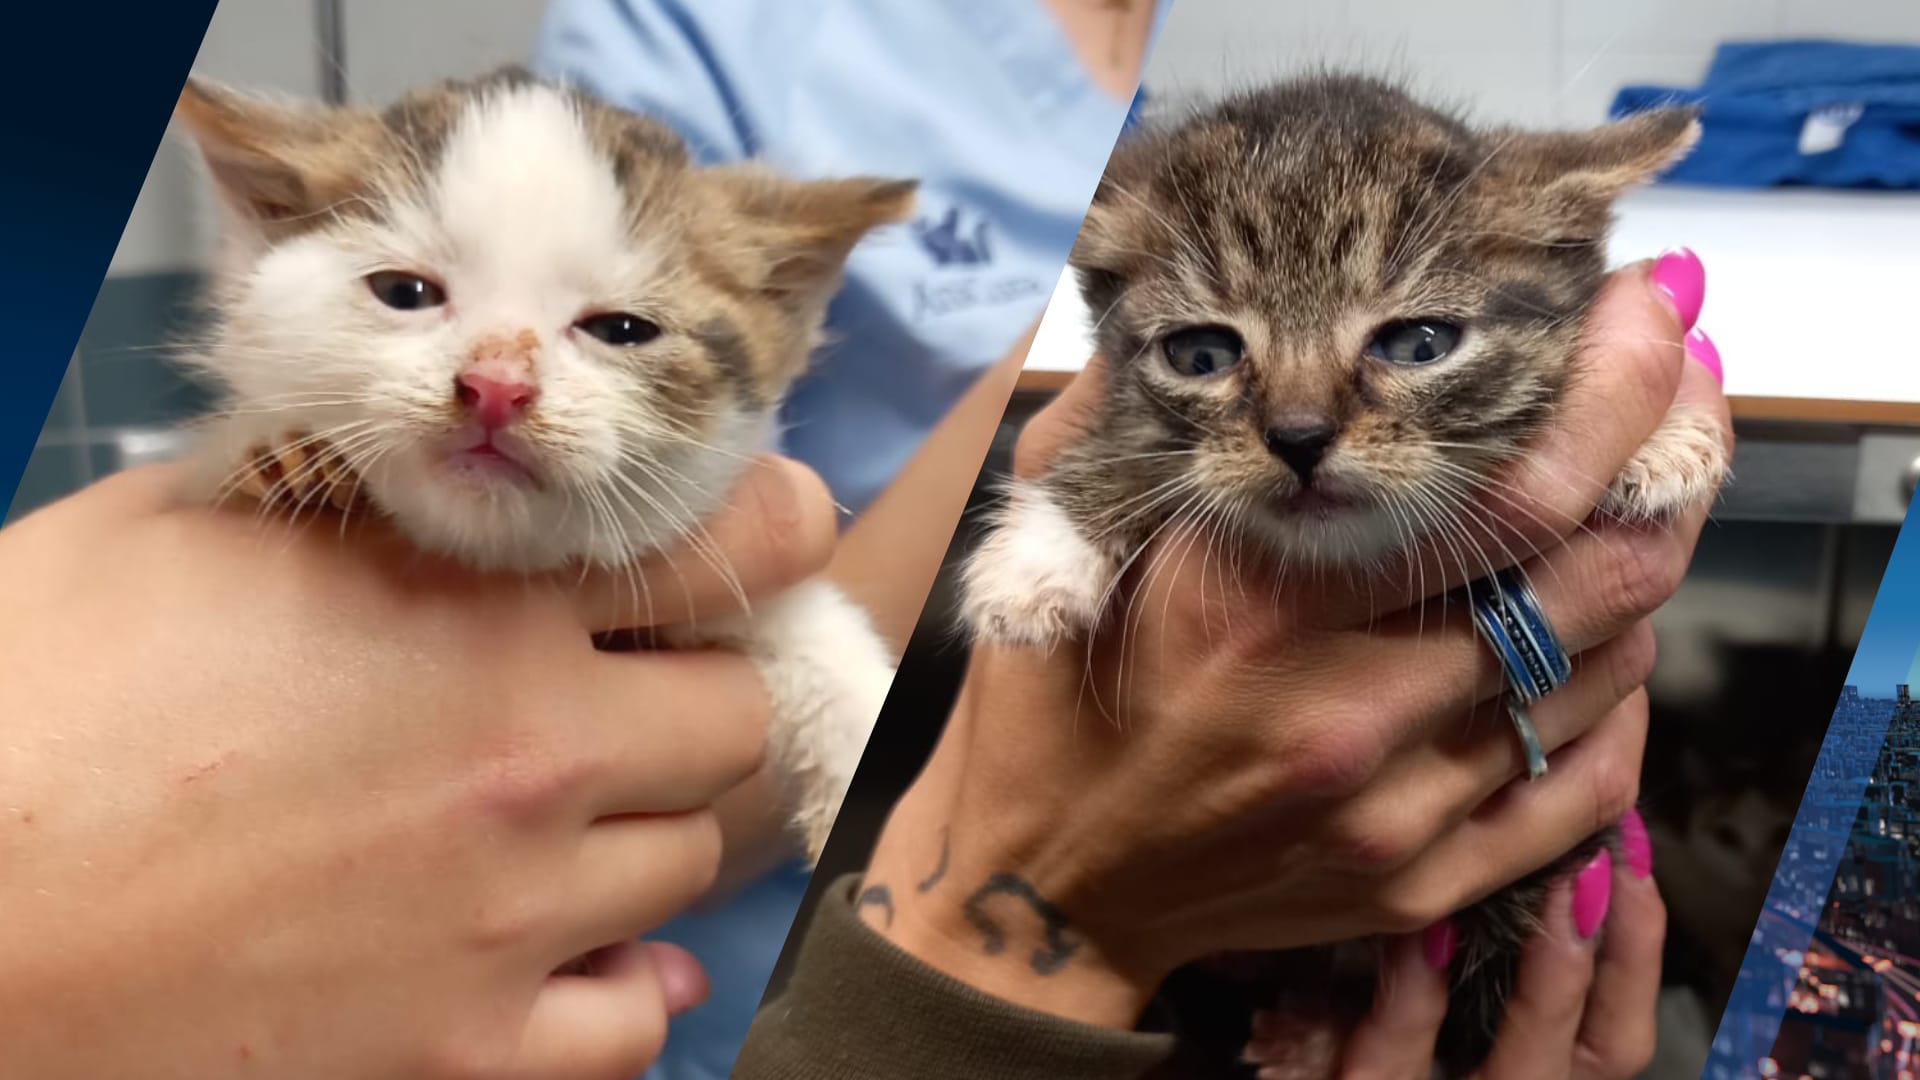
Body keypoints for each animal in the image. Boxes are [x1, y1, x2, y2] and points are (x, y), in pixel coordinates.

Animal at [967, 71, 1735, 1068]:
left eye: (1418, 344)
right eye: (1201, 355)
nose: (1298, 438)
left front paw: (1666, 436)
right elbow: (1134, 445)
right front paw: (1039, 553)